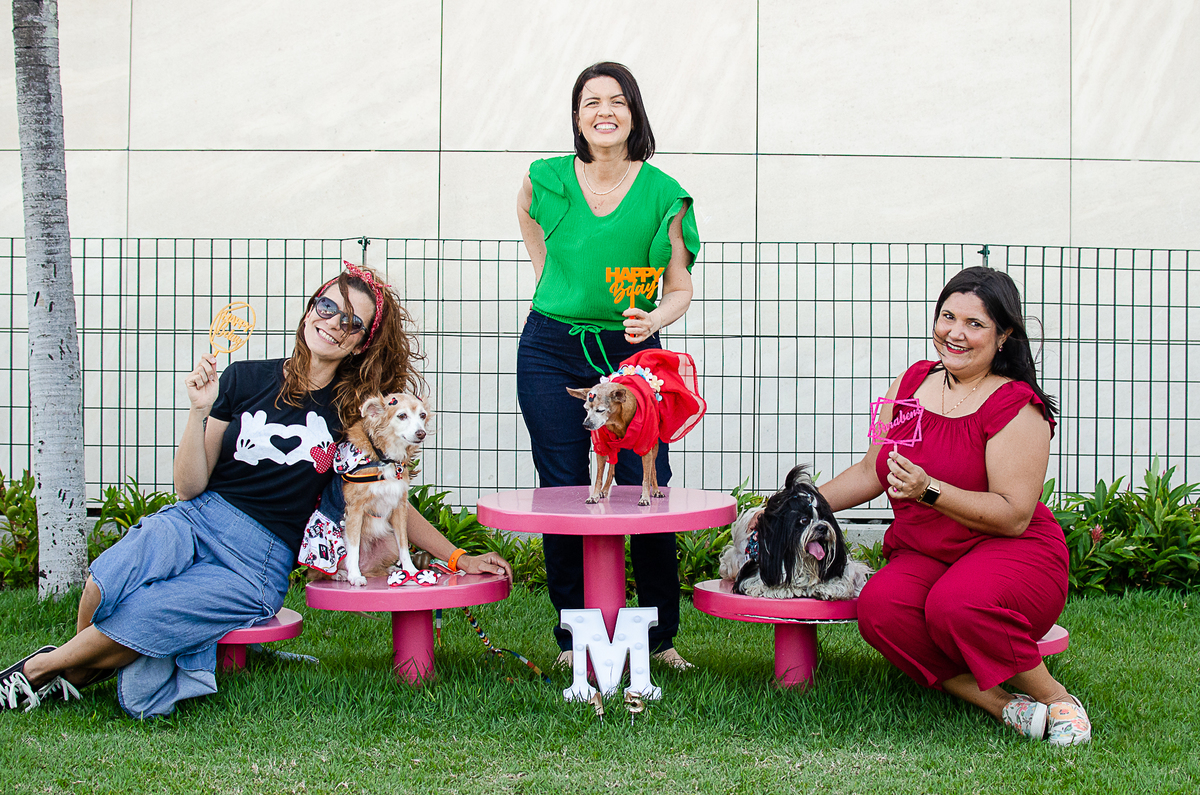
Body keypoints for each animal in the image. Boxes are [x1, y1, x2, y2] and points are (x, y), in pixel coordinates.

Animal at [298, 393, 429, 586]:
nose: (421, 433)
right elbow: (353, 547)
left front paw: (411, 571)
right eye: (402, 415)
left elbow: (404, 544)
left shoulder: (399, 507)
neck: (385, 458)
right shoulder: (355, 510)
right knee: (318, 574)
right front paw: (354, 575)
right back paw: (341, 574)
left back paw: (389, 569)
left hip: (388, 540)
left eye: (422, 415)